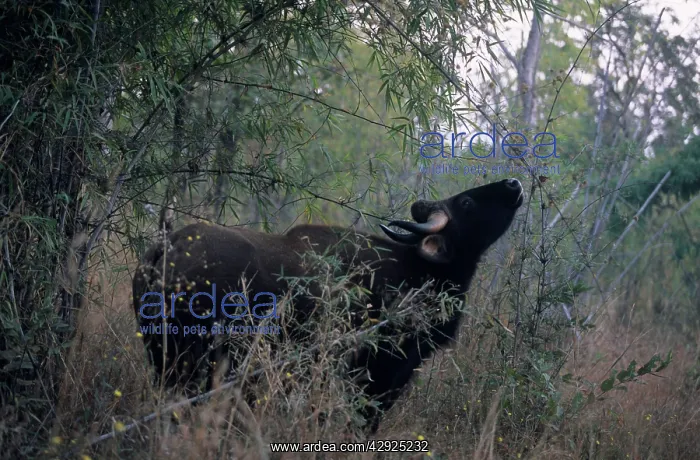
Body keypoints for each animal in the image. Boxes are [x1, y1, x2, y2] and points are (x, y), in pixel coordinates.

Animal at [132, 178, 523, 432]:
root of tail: (168, 246)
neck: (414, 270)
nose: (514, 184)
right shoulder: (378, 372)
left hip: (164, 361)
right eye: (467, 203)